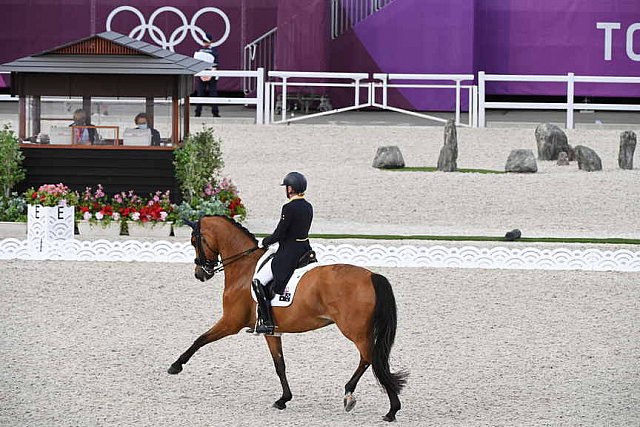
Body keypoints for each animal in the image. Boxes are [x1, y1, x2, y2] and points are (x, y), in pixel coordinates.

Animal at [168, 216, 408, 422]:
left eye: (194, 241)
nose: (200, 273)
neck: (244, 267)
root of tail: (372, 275)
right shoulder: (272, 330)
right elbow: (279, 364)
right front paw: (283, 399)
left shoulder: (230, 322)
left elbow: (200, 339)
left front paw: (175, 365)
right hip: (361, 331)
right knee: (372, 360)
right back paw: (376, 403)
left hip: (354, 330)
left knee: (370, 359)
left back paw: (376, 403)